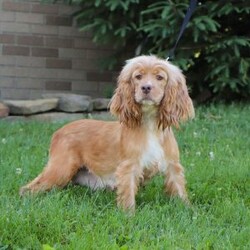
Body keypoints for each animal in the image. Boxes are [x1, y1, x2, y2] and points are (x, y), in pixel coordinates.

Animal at [20, 54, 194, 211]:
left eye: (160, 77)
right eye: (138, 76)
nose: (146, 87)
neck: (149, 123)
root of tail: (59, 131)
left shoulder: (172, 165)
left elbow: (179, 189)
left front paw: (188, 210)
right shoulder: (128, 166)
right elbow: (127, 194)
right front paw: (129, 215)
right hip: (60, 169)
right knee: (28, 188)